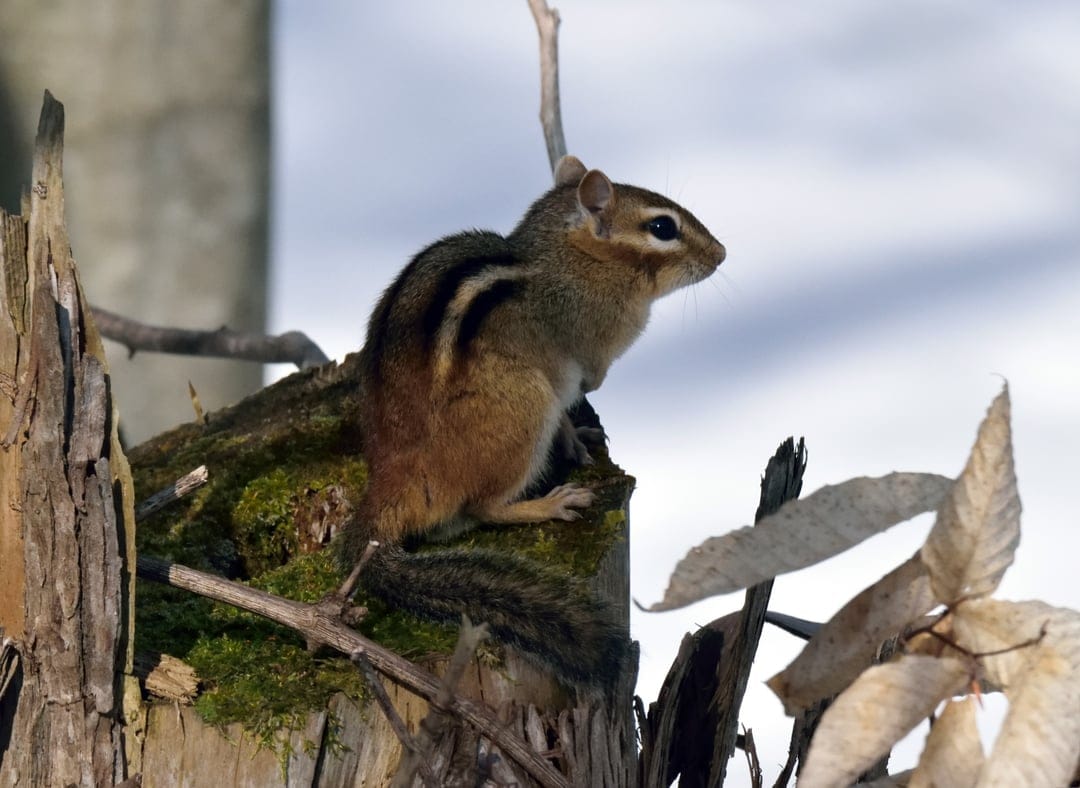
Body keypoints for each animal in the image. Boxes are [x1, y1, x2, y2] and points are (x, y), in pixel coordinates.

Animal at [339, 155, 725, 692]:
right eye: (663, 228)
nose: (721, 254)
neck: (572, 258)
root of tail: (391, 476)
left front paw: (576, 436)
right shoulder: (589, 354)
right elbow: (584, 382)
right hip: (524, 406)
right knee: (481, 508)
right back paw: (550, 504)